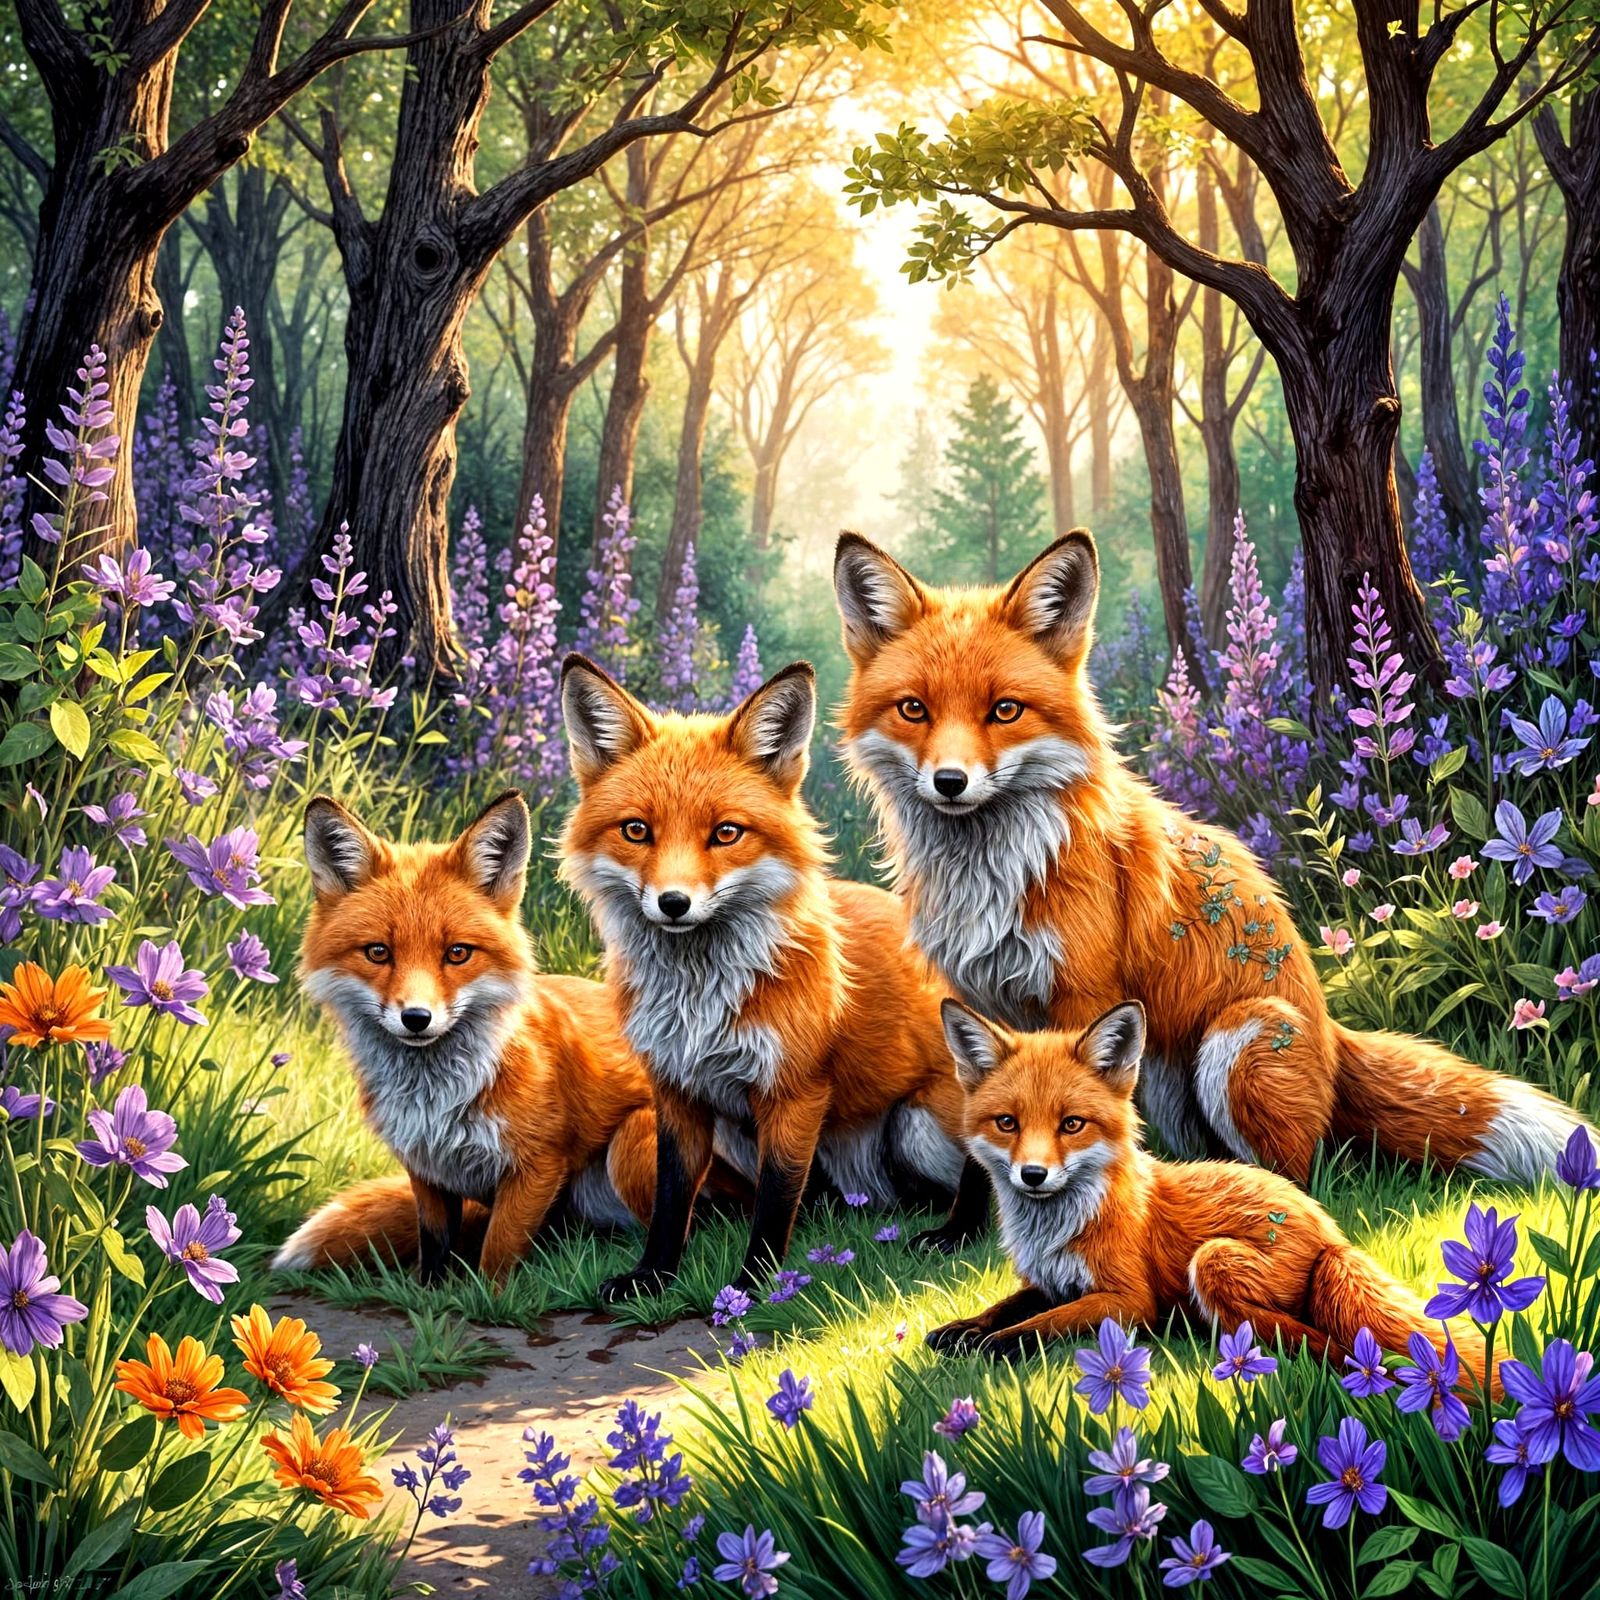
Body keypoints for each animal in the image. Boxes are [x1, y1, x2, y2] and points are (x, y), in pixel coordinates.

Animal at [271, 791, 663, 1285]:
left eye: (457, 953)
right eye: (378, 952)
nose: (416, 1018)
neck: (436, 1104)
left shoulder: (537, 1168)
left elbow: (496, 1256)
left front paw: (490, 1297)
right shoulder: (427, 1171)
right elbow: (435, 1248)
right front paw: (430, 1294)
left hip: (632, 1143)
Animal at [557, 653, 990, 1302]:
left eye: (726, 833)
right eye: (637, 831)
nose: (673, 903)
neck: (701, 1001)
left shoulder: (794, 1091)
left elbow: (775, 1198)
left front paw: (759, 1287)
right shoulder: (675, 1090)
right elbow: (670, 1199)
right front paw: (652, 1277)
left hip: (917, 1124)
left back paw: (954, 1232)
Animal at [833, 529, 1596, 1185]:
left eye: (1004, 710)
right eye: (913, 709)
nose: (950, 782)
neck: (997, 874)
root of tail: (1328, 1030)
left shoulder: (1084, 996)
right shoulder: (973, 999)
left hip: (1234, 1044)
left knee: (1300, 1173)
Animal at [927, 998, 1490, 1386]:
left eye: (1072, 1124)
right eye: (1007, 1123)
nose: (1033, 1175)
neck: (1058, 1230)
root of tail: (1328, 1231)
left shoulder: (1127, 1299)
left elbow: (1042, 1326)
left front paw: (991, 1343)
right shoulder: (1048, 1281)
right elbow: (1007, 1306)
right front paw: (962, 1329)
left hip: (1214, 1260)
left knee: (1312, 1340)